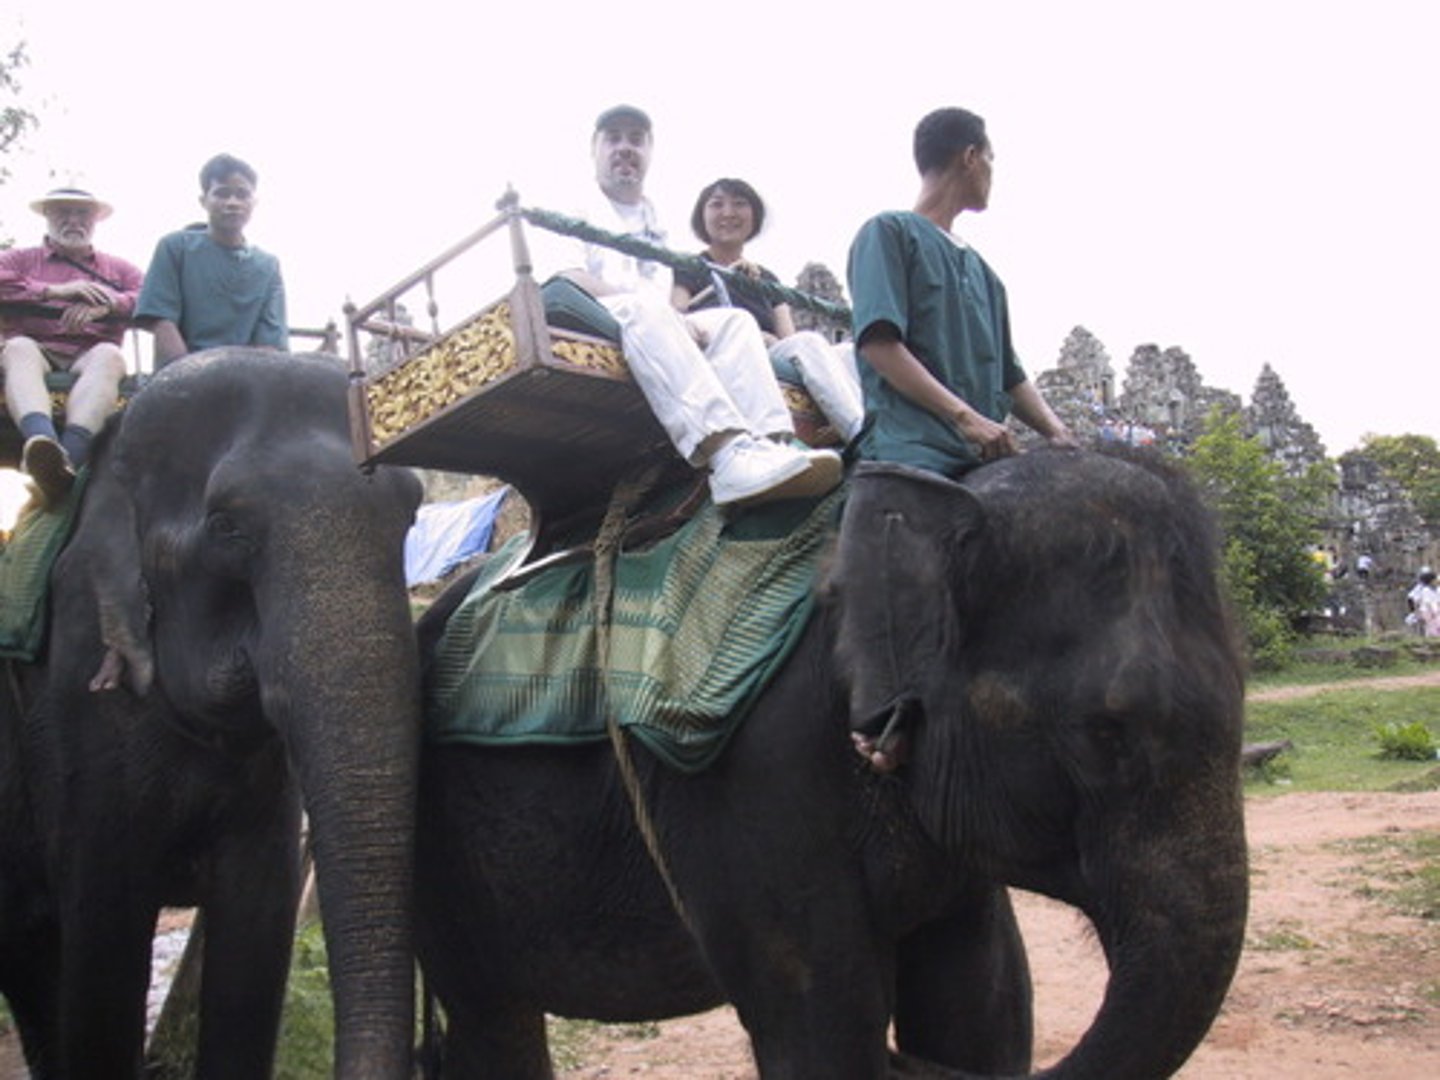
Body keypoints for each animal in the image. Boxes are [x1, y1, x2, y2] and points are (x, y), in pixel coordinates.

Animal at [413, 448, 1249, 1078]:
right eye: (1106, 731)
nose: (908, 1068)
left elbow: (983, 1006)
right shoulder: (757, 779)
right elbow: (824, 1030)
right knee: (489, 1014)